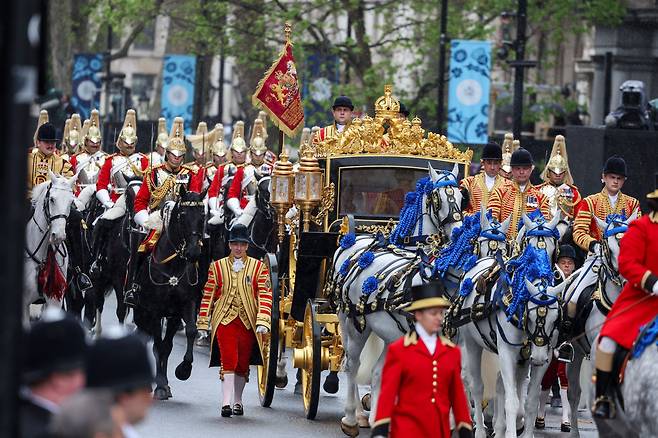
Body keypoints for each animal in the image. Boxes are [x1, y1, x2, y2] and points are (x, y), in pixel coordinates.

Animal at [131, 188, 205, 400]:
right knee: (144, 336)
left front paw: (182, 370)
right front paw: (160, 385)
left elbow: (186, 333)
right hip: (141, 311)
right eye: (182, 215)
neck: (173, 268)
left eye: (203, 215)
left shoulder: (183, 308)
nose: (193, 252)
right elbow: (158, 345)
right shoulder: (155, 311)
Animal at [330, 163, 464, 434]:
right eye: (437, 198)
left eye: (461, 197)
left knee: (373, 369)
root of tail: (354, 240)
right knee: (352, 364)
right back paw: (352, 417)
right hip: (352, 323)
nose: (457, 230)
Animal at [458, 210, 560, 436]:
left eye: (552, 248)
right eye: (529, 245)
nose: (542, 275)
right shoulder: (506, 352)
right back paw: (479, 428)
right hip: (471, 342)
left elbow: (529, 401)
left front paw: (522, 430)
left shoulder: (541, 357)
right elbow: (511, 402)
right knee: (476, 385)